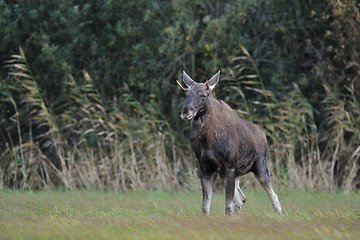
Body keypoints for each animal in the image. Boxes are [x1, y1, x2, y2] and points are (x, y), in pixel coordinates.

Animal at [177, 70, 282, 215]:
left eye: (204, 95)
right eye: (187, 94)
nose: (186, 111)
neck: (207, 140)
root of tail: (263, 135)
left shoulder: (229, 168)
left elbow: (227, 206)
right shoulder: (205, 169)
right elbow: (205, 207)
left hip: (259, 166)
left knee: (274, 197)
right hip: (231, 174)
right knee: (241, 199)